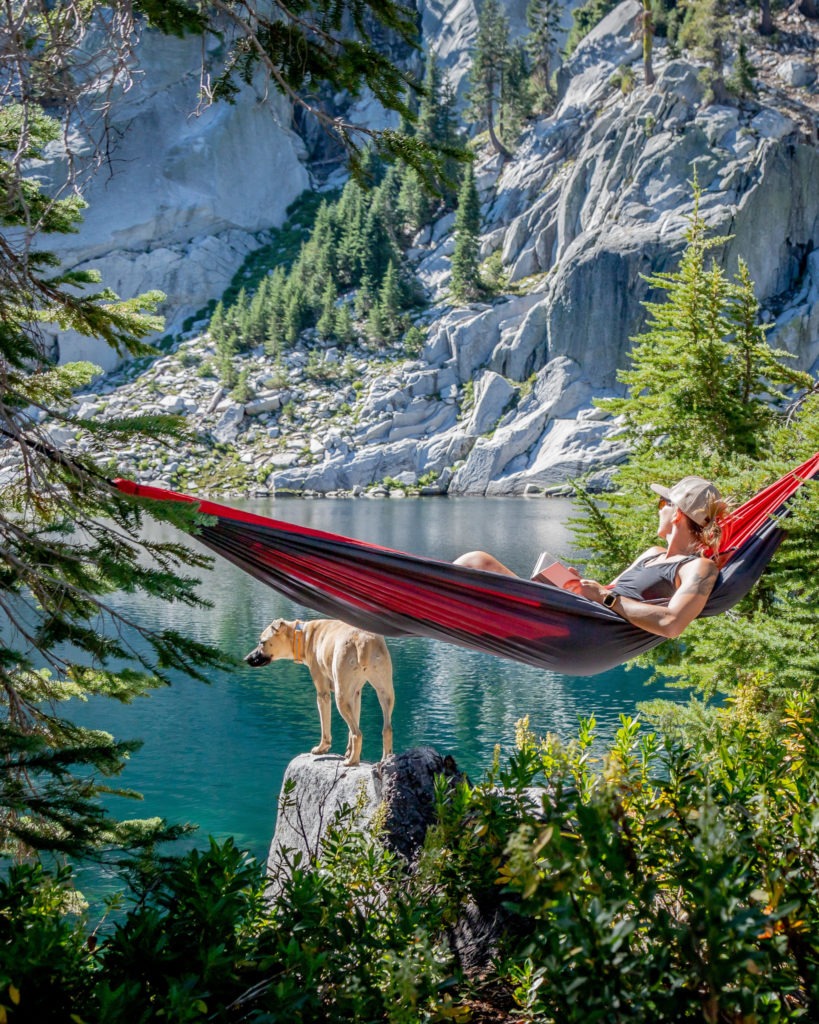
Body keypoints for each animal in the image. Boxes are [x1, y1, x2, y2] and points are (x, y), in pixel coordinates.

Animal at [244, 614, 395, 770]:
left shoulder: (323, 693)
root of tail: (362, 640)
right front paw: (348, 751)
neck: (303, 634)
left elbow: (325, 725)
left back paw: (352, 761)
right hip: (384, 692)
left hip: (341, 697)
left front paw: (322, 748)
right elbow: (353, 723)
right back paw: (385, 760)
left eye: (262, 642)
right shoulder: (355, 694)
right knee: (386, 729)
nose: (246, 659)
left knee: (357, 734)